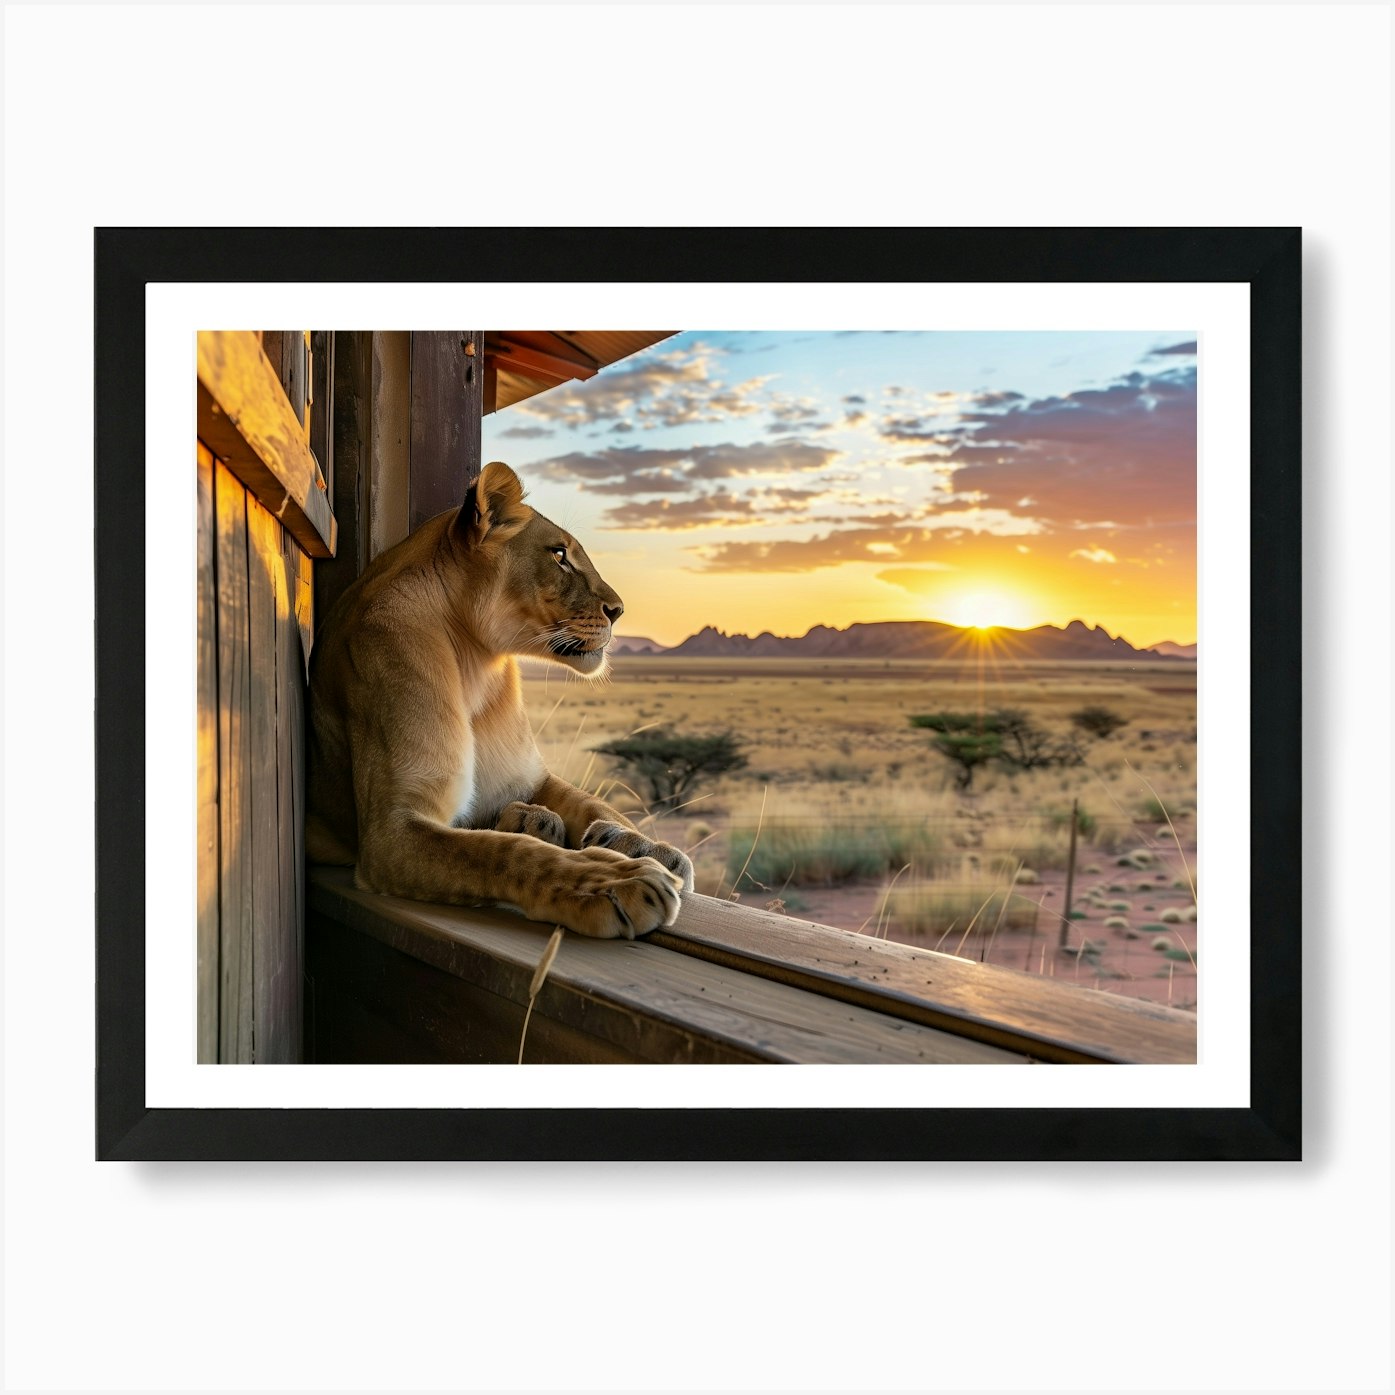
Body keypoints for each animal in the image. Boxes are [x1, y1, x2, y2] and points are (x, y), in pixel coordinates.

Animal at [306, 461, 693, 939]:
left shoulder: (529, 779)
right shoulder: (391, 832)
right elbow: (503, 853)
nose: (619, 610)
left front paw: (647, 845)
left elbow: (592, 802)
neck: (477, 664)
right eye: (559, 555)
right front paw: (613, 880)